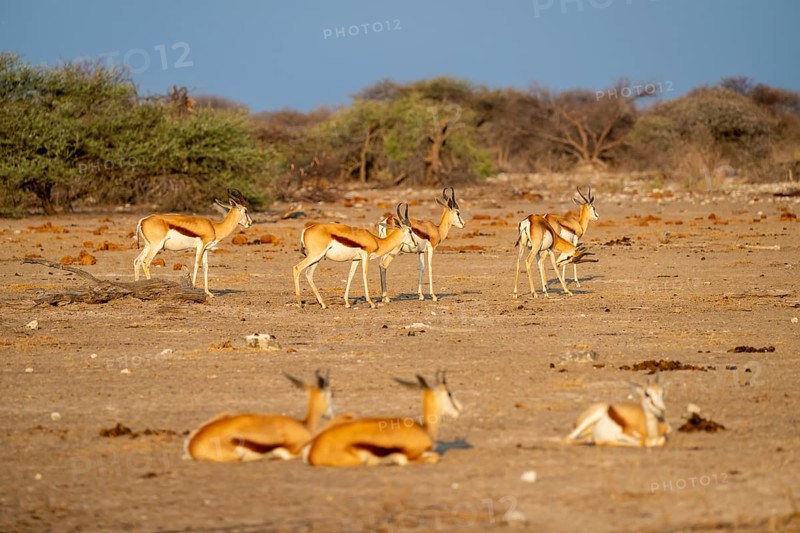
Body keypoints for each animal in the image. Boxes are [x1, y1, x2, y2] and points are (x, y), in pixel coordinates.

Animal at [304, 371, 462, 467]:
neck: (424, 429)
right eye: (449, 393)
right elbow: (434, 456)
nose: (459, 409)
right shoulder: (412, 455)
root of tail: (313, 450)